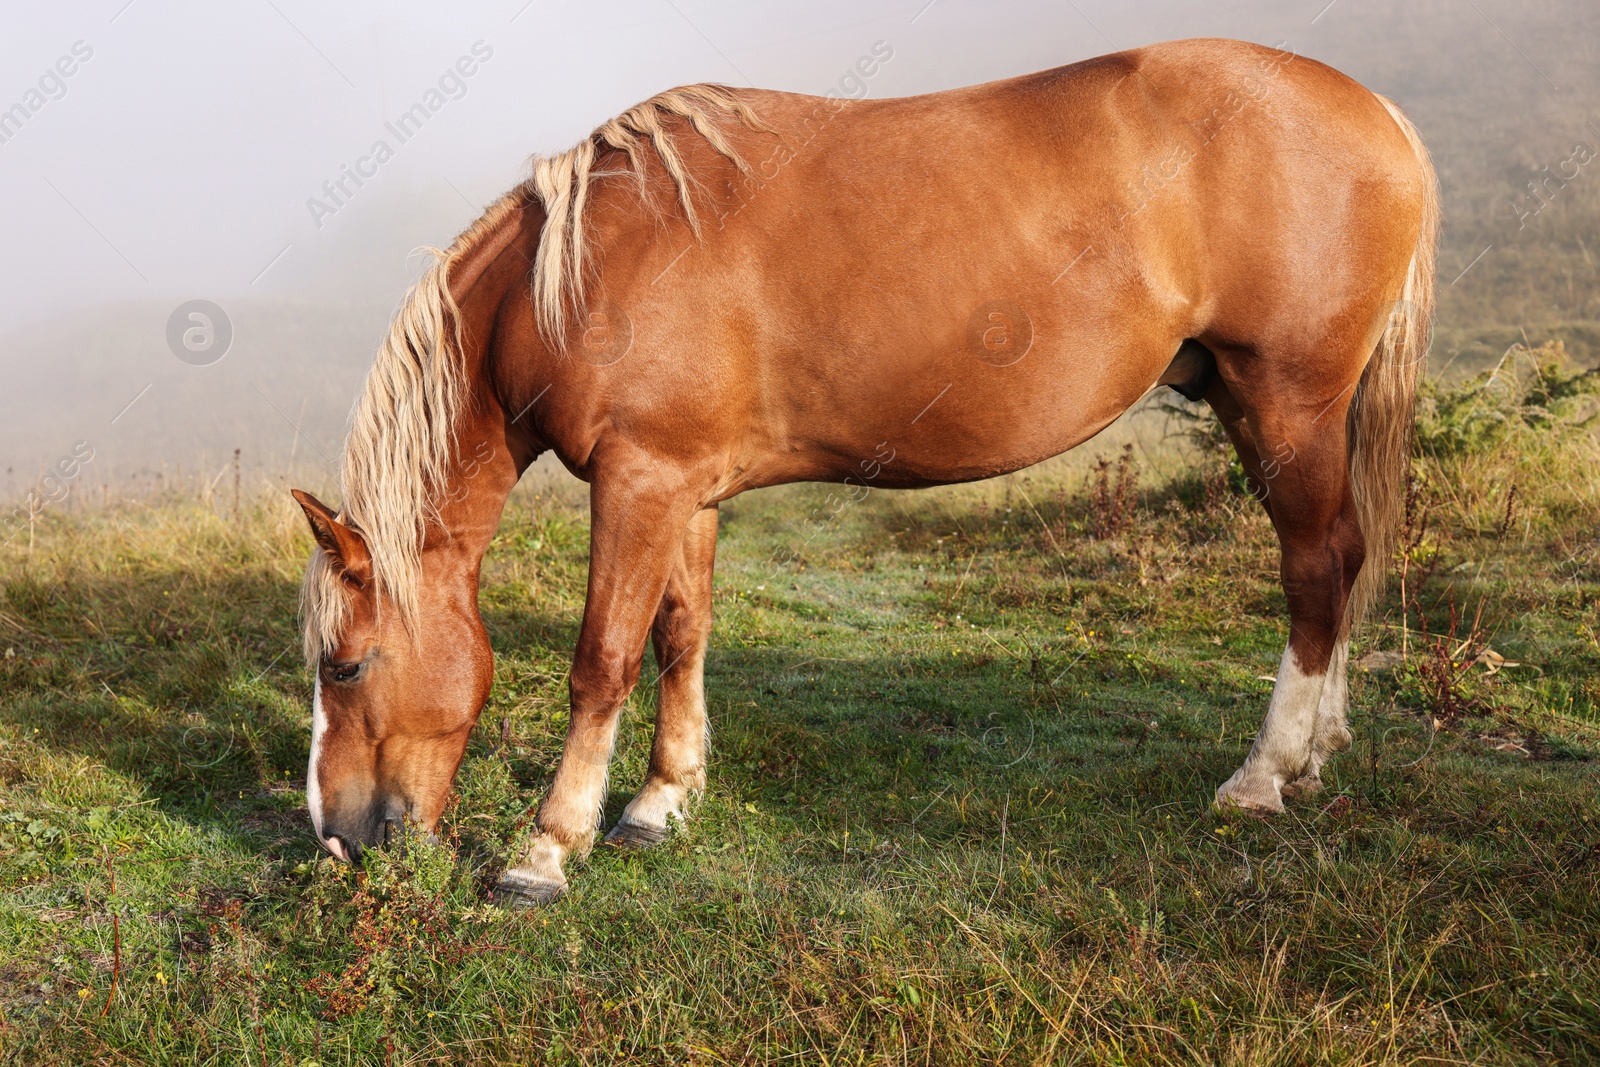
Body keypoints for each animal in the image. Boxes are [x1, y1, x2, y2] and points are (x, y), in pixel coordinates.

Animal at [288, 37, 1440, 908]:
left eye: (344, 666)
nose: (336, 838)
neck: (575, 270)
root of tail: (1379, 112)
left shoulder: (639, 483)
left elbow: (603, 659)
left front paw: (546, 849)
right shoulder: (686, 488)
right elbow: (680, 635)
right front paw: (661, 802)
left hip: (1285, 402)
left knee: (1313, 569)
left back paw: (1263, 775)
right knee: (1340, 558)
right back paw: (1318, 751)